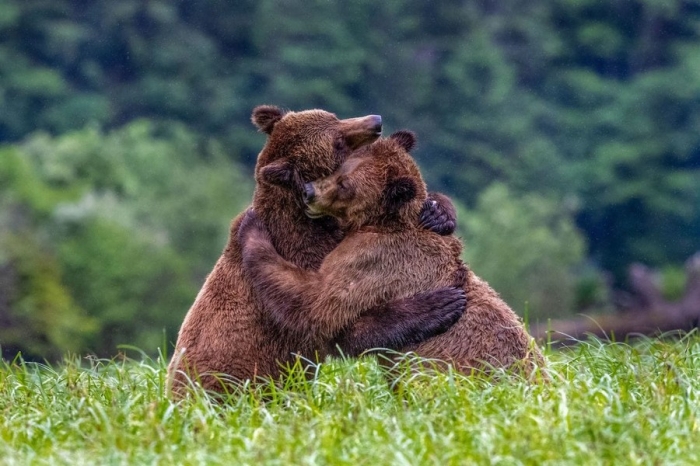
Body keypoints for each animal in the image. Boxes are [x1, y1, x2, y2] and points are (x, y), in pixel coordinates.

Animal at [167, 105, 468, 394]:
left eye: (334, 117)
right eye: (338, 142)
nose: (376, 121)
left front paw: (437, 214)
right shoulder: (308, 254)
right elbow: (328, 316)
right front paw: (437, 305)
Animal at [238, 130, 548, 378]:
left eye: (345, 185)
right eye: (337, 169)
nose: (308, 192)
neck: (380, 221)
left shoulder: (374, 258)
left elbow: (318, 303)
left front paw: (252, 229)